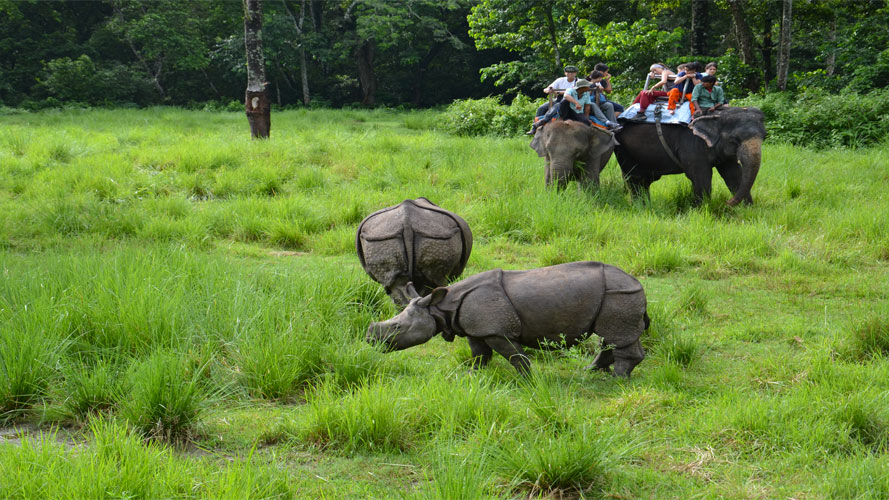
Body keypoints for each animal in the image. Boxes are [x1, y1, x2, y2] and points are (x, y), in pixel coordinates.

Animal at [364, 260, 648, 376]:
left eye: (396, 327)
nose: (369, 340)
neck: (440, 307)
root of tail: (638, 283)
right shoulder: (475, 328)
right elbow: (479, 355)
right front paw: (473, 375)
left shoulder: (496, 330)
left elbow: (515, 355)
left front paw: (528, 381)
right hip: (617, 295)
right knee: (611, 337)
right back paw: (591, 371)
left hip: (619, 294)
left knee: (616, 336)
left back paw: (618, 379)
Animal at [612, 106, 768, 206]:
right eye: (735, 139)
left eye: (764, 137)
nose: (726, 203)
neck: (717, 115)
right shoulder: (692, 145)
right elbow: (701, 177)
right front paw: (704, 210)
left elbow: (734, 175)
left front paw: (748, 209)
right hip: (624, 150)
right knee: (635, 179)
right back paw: (641, 207)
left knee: (644, 181)